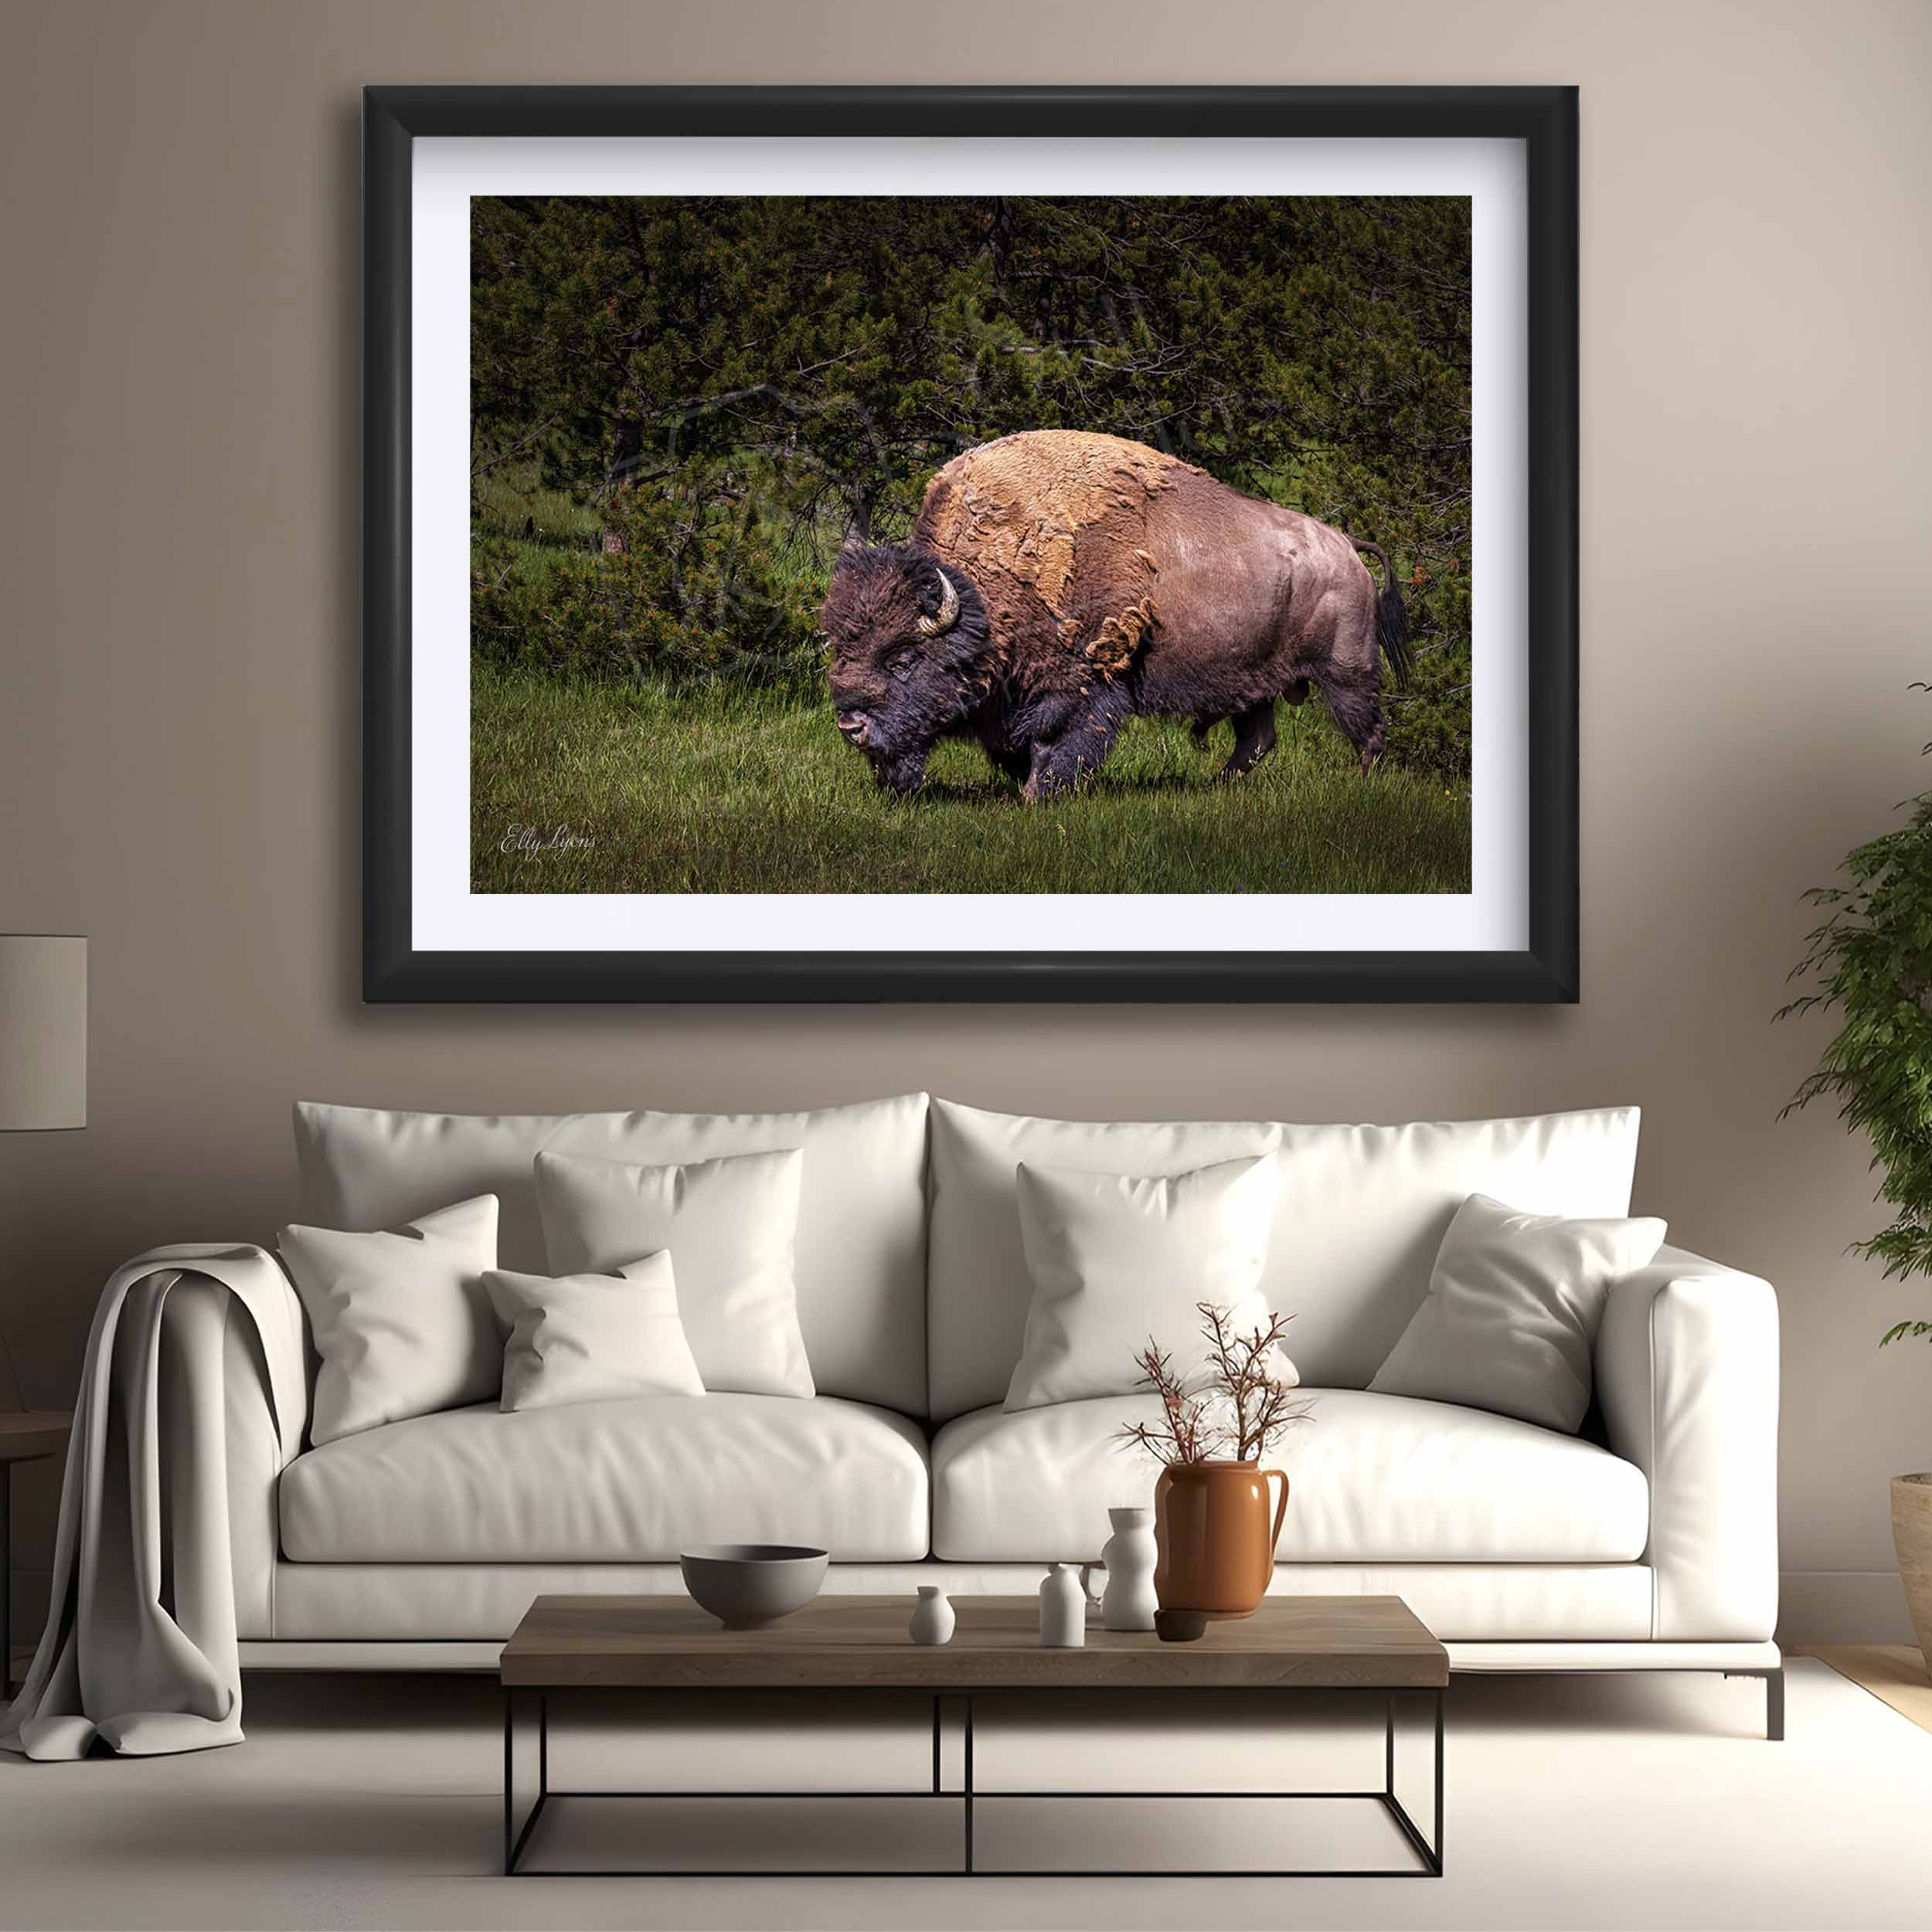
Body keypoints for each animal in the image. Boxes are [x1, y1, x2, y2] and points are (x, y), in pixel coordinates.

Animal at [821, 429, 1411, 800]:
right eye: (842, 648)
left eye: (903, 659)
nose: (851, 725)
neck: (986, 598)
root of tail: (1347, 546)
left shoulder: (1083, 685)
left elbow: (1060, 743)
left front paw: (1035, 796)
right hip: (1254, 683)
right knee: (1257, 740)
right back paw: (1217, 787)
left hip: (1346, 673)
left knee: (1368, 730)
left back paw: (1363, 784)